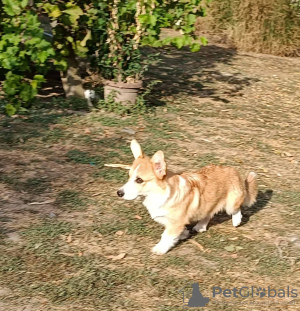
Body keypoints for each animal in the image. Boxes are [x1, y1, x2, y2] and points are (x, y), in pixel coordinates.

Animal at [117, 140, 258, 255]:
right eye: (129, 177)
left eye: (139, 180)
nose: (119, 193)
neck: (159, 193)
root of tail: (234, 171)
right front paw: (184, 234)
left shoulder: (175, 223)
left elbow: (166, 236)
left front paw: (160, 249)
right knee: (208, 214)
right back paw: (200, 226)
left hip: (230, 204)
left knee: (236, 209)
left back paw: (236, 220)